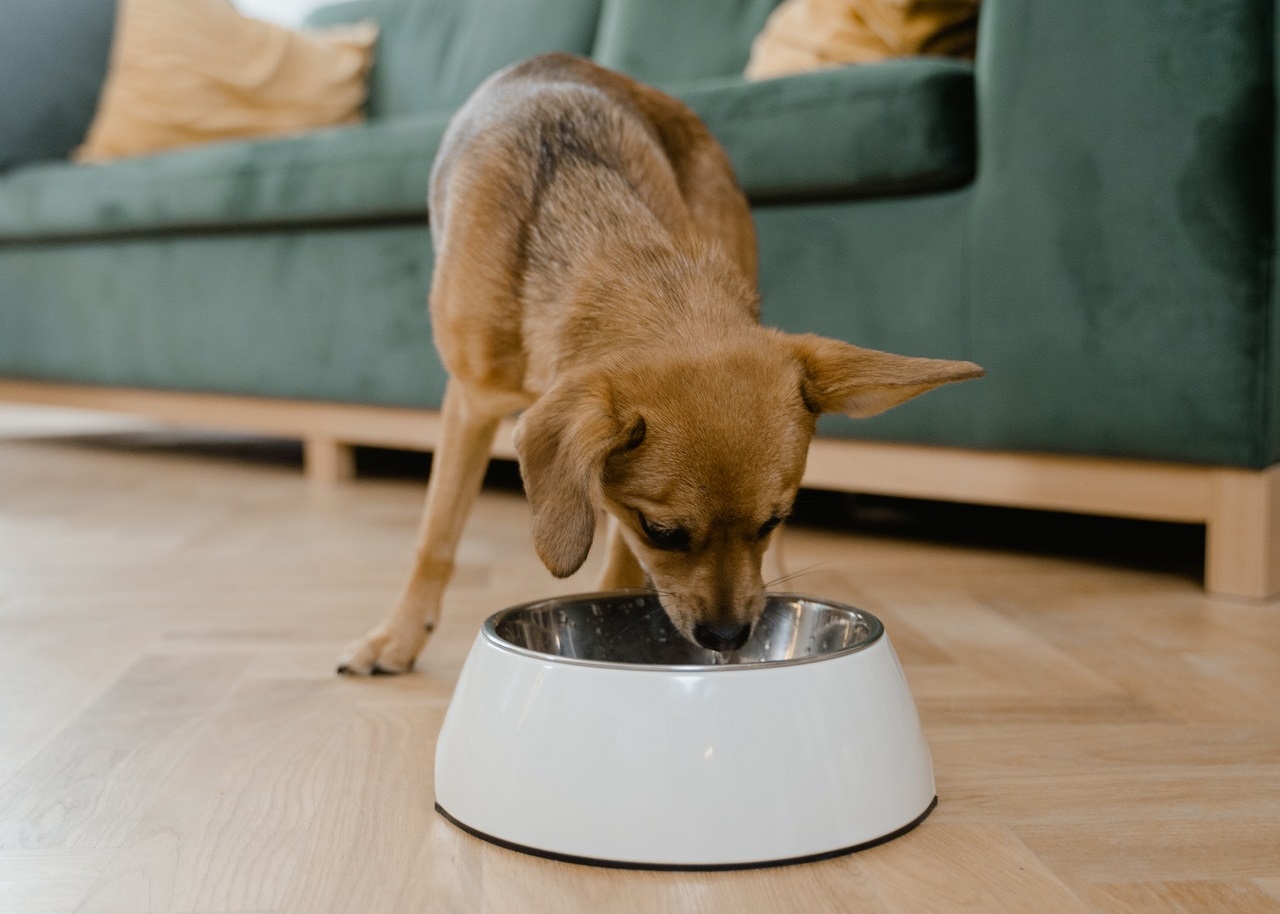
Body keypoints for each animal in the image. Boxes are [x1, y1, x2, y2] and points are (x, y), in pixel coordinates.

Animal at [335, 53, 983, 670]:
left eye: (772, 521)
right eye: (663, 532)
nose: (727, 637)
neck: (605, 243)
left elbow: (618, 566)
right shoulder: (470, 403)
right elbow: (436, 537)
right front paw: (397, 635)